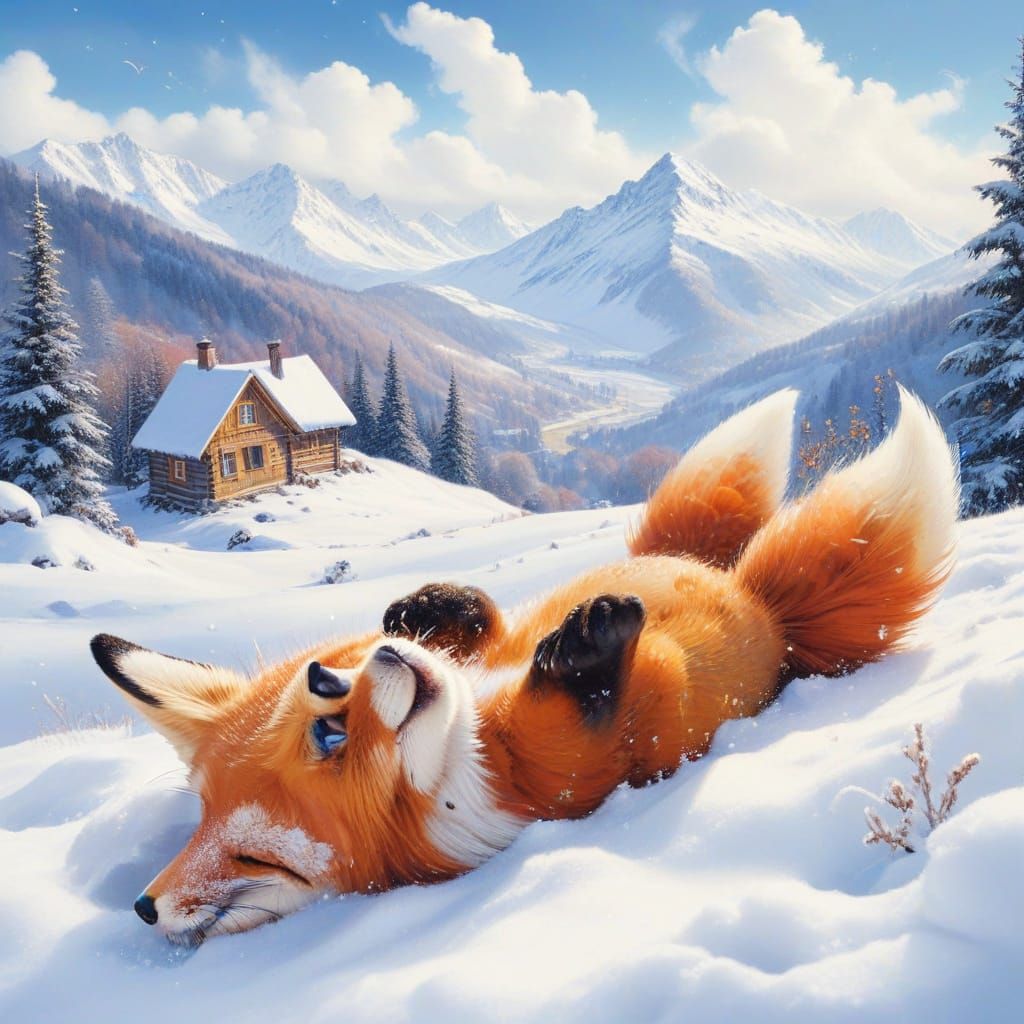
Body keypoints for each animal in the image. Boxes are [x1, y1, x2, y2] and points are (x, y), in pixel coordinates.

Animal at [90, 386, 958, 946]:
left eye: (329, 680)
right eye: (332, 737)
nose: (334, 677)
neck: (477, 743)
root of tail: (761, 599)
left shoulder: (498, 659)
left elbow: (492, 626)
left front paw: (431, 607)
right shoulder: (599, 765)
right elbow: (604, 716)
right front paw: (593, 645)